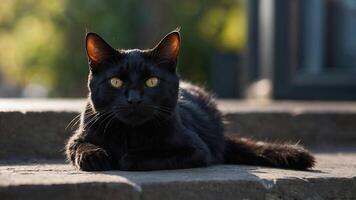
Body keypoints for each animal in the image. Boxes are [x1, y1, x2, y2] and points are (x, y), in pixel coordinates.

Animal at [65, 28, 316, 171]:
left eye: (152, 82)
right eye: (116, 82)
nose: (134, 99)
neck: (131, 134)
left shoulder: (196, 150)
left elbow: (142, 157)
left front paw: (125, 157)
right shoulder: (78, 137)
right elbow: (80, 147)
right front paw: (95, 156)